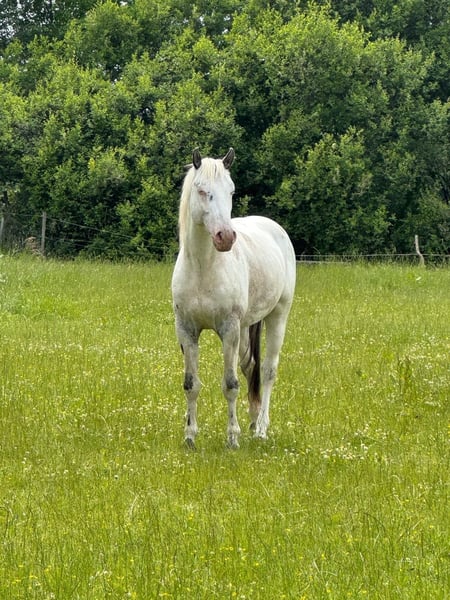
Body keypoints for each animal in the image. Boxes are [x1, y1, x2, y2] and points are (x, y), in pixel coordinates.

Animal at [171, 148, 296, 448]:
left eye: (231, 191)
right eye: (201, 190)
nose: (225, 237)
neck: (203, 268)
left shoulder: (229, 329)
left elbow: (230, 384)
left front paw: (232, 438)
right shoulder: (186, 330)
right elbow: (190, 384)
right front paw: (190, 436)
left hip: (277, 316)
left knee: (268, 370)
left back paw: (261, 428)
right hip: (245, 327)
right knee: (250, 367)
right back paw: (252, 421)